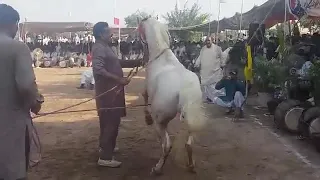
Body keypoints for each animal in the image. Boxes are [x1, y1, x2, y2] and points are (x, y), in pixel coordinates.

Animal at [138, 17, 208, 174]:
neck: (161, 57)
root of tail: (184, 89)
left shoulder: (146, 88)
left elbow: (144, 96)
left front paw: (147, 119)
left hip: (161, 122)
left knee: (166, 145)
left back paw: (157, 168)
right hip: (190, 118)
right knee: (188, 144)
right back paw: (191, 166)